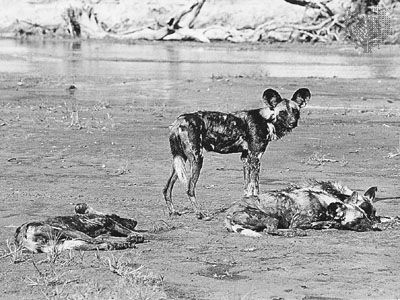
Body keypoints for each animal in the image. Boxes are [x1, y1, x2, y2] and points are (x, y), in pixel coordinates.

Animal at [14, 202, 145, 253]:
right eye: (119, 216)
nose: (135, 221)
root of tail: (20, 231)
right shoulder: (110, 222)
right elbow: (126, 230)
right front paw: (136, 236)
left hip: (65, 243)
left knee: (100, 244)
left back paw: (119, 245)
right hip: (69, 231)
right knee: (96, 241)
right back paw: (122, 244)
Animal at [163, 88, 312, 219]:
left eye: (295, 111)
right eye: (283, 112)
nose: (293, 122)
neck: (266, 120)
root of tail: (179, 121)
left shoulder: (246, 158)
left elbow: (247, 188)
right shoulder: (255, 158)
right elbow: (255, 187)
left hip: (180, 160)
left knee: (167, 188)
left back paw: (173, 212)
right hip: (197, 158)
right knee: (190, 189)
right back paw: (200, 214)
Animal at [225, 180, 378, 237]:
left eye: (368, 215)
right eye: (360, 218)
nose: (375, 226)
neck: (324, 204)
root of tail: (228, 214)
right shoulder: (297, 222)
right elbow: (320, 223)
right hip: (271, 218)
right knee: (271, 230)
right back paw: (295, 233)